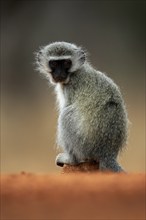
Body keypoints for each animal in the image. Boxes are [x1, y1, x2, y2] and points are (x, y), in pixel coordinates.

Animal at [35, 41, 128, 172]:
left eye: (66, 62)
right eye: (53, 63)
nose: (59, 74)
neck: (75, 72)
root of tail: (107, 153)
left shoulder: (70, 88)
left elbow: (67, 108)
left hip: (84, 147)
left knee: (65, 115)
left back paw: (71, 159)